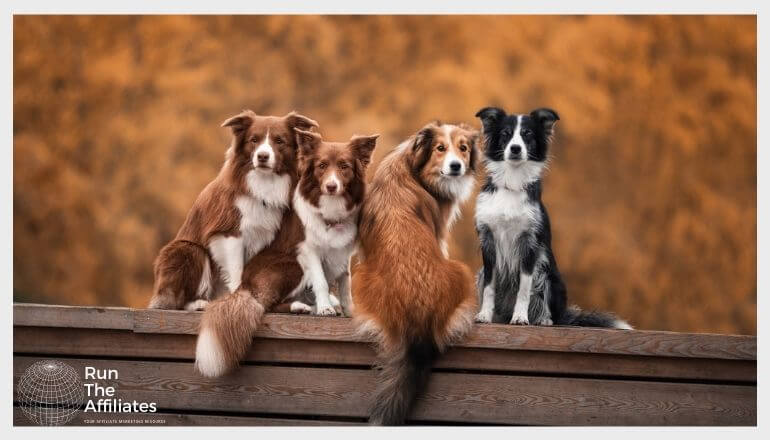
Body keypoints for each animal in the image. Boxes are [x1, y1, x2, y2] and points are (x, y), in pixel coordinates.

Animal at [147, 111, 316, 312]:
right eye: (254, 140)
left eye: (279, 141)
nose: (262, 156)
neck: (262, 183)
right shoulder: (229, 232)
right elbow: (236, 270)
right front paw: (237, 299)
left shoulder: (262, 235)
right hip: (187, 249)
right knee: (176, 301)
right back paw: (199, 303)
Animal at [194, 129, 376, 376]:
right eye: (321, 166)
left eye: (344, 166)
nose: (331, 186)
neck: (330, 210)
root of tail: (244, 285)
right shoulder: (307, 251)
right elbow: (321, 282)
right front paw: (325, 309)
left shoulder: (343, 253)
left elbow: (345, 284)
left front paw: (349, 311)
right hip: (293, 266)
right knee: (268, 306)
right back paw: (302, 307)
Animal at [350, 122, 480, 424]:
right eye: (440, 148)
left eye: (463, 148)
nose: (456, 166)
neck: (413, 166)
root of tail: (419, 323)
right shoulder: (440, 232)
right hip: (462, 270)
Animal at [474, 105, 632, 328]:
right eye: (505, 134)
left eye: (528, 134)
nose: (515, 148)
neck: (513, 181)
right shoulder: (488, 242)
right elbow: (489, 287)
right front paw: (484, 315)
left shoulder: (530, 244)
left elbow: (524, 289)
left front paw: (520, 317)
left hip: (547, 273)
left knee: (549, 310)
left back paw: (543, 319)